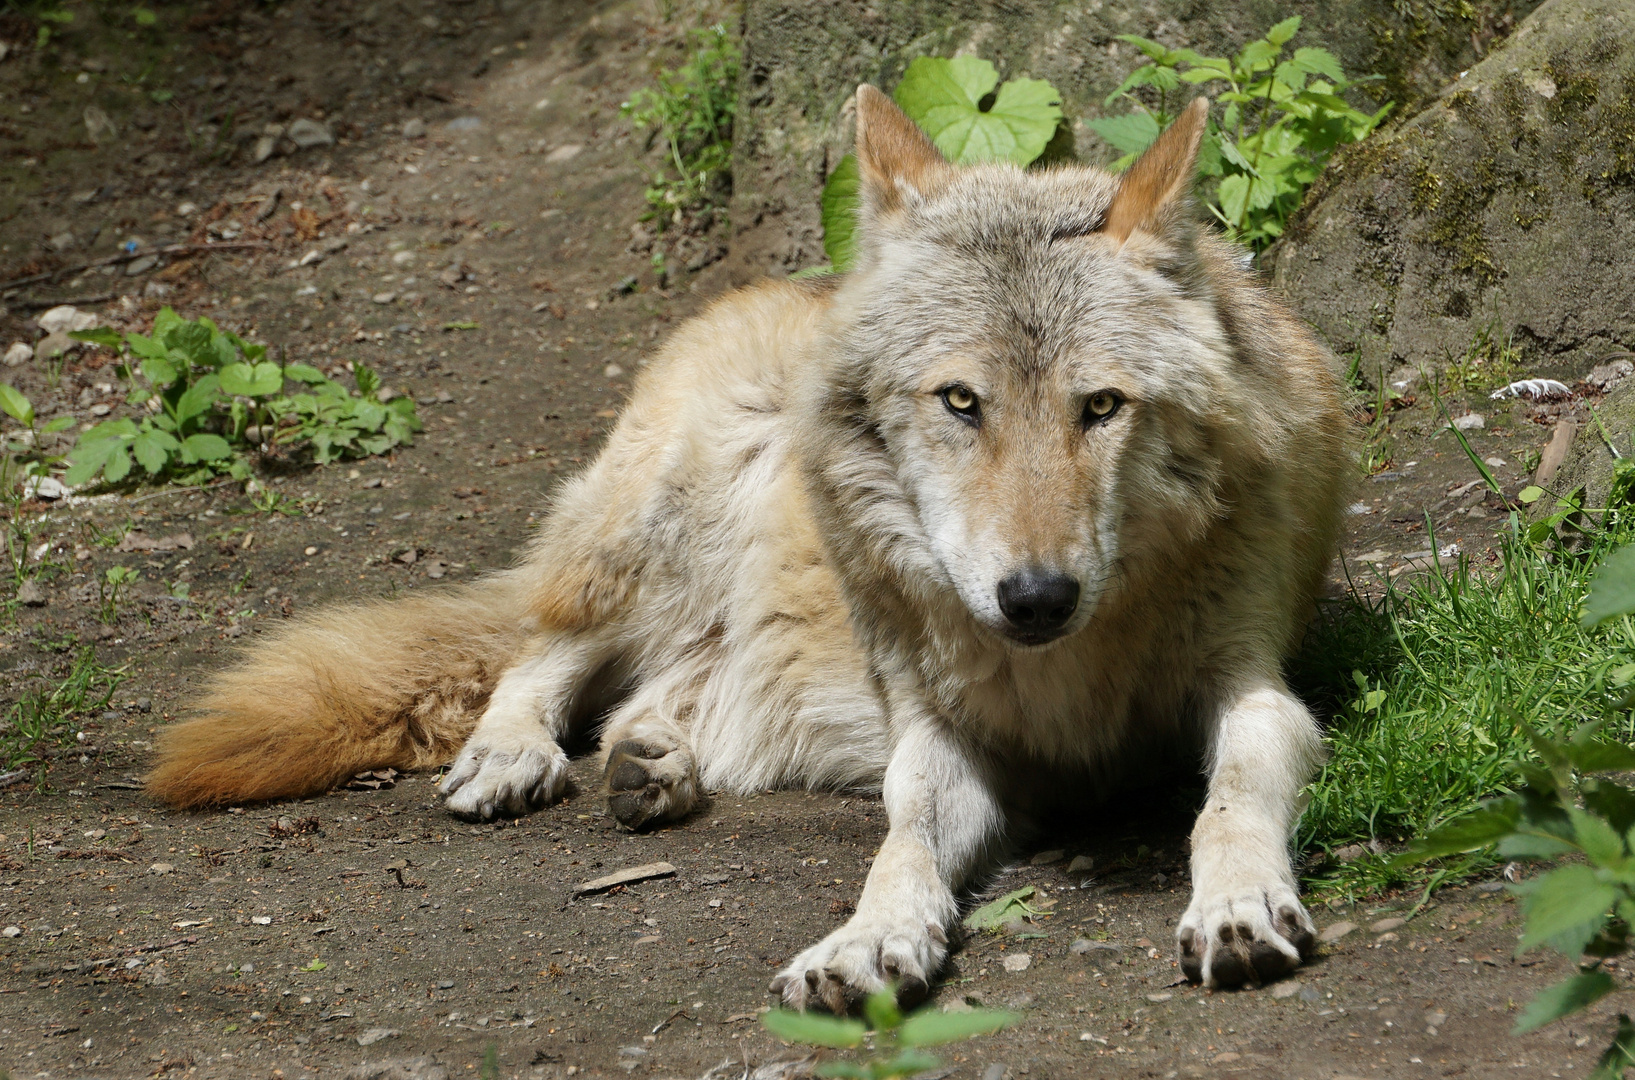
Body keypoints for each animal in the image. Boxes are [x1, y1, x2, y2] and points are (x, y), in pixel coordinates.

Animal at [150, 90, 1353, 1013]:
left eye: (1100, 406)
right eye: (961, 402)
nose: (1036, 597)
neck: (1069, 671)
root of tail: (787, 290)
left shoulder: (1255, 690)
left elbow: (1229, 798)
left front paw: (1236, 906)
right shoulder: (938, 738)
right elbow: (900, 847)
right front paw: (869, 940)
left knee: (643, 704)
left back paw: (654, 771)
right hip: (660, 518)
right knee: (539, 654)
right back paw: (517, 758)